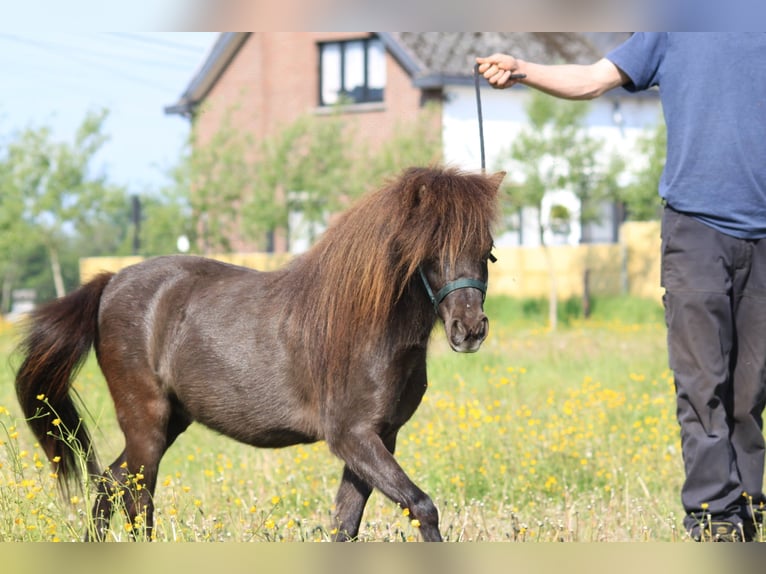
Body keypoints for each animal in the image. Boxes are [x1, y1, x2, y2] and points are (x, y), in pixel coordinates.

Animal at [14, 165, 503, 542]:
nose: (470, 330)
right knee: (136, 495)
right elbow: (421, 506)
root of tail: (110, 282)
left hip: (171, 420)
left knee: (111, 483)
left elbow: (345, 525)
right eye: (432, 250)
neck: (363, 325)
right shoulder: (353, 437)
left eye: (487, 249)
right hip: (145, 422)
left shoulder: (380, 438)